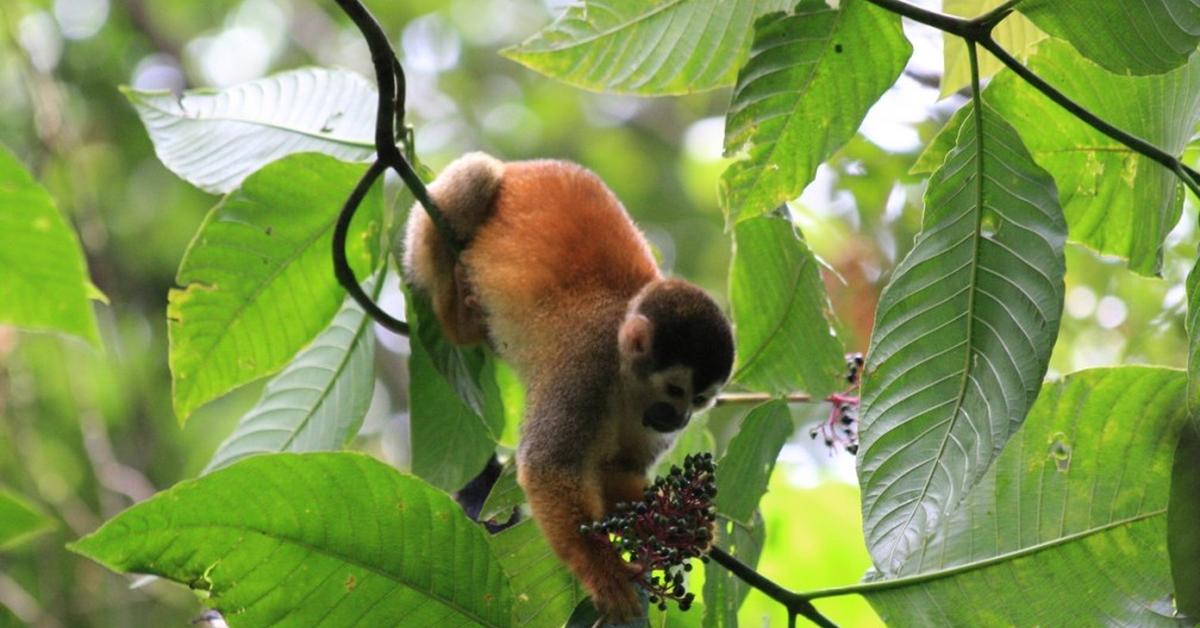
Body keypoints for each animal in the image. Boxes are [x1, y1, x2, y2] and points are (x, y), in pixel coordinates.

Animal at [408, 153, 734, 624]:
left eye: (701, 400)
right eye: (676, 391)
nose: (681, 419)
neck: (625, 380)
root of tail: (522, 165)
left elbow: (615, 470)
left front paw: (680, 522)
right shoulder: (585, 363)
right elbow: (550, 465)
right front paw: (602, 570)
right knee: (474, 175)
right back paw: (458, 317)